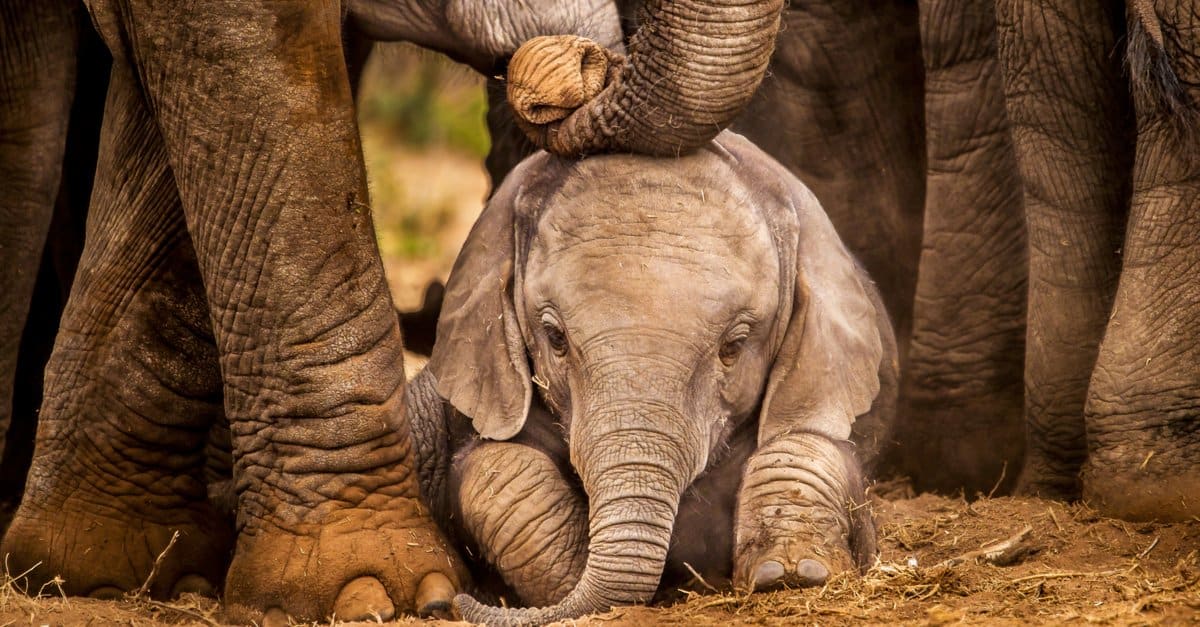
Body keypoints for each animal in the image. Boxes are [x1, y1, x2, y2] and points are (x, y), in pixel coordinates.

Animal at [408, 129, 897, 619]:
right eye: (555, 337)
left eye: (734, 346)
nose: (453, 605)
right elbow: (500, 467)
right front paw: (566, 576)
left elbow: (806, 444)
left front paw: (790, 574)